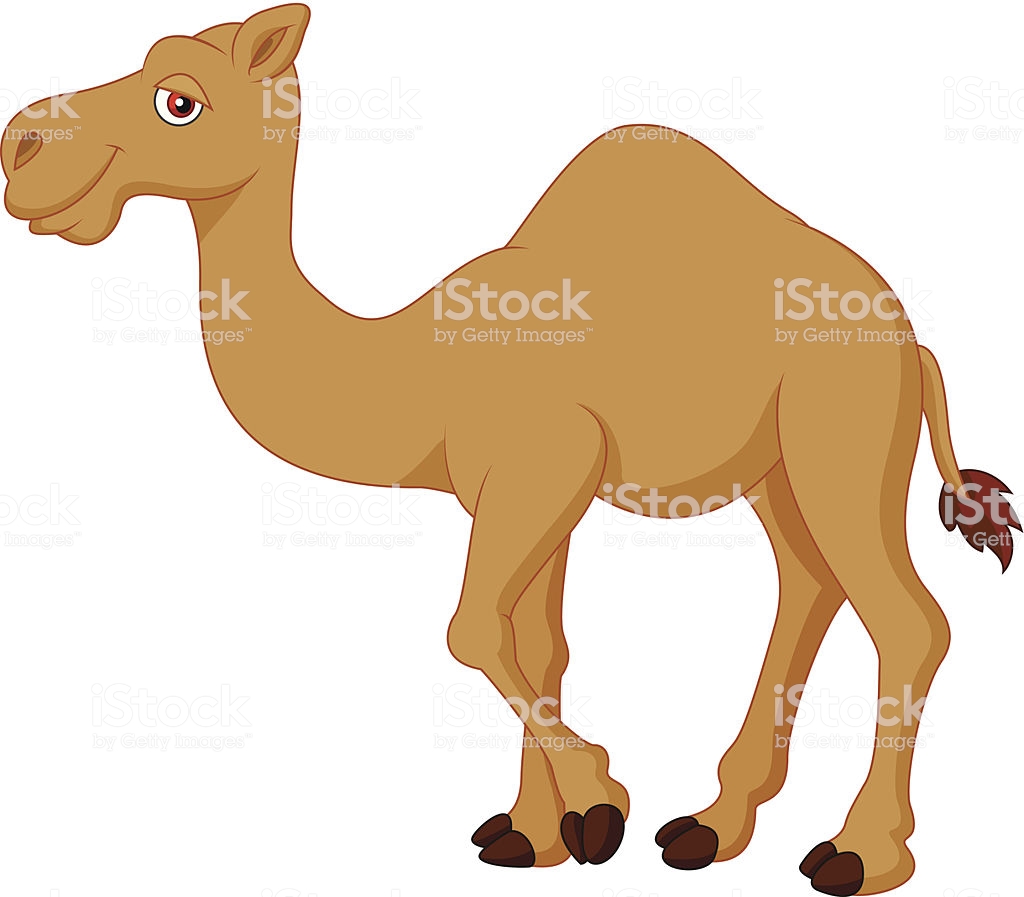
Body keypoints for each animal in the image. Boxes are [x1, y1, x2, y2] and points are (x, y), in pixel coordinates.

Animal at [3, 5, 1018, 894]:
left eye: (179, 99)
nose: (21, 147)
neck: (417, 363)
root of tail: (910, 339)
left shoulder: (545, 460)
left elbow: (472, 629)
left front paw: (601, 800)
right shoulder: (512, 488)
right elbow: (536, 640)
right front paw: (537, 835)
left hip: (841, 427)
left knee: (907, 619)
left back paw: (854, 854)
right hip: (782, 468)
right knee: (811, 585)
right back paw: (709, 826)